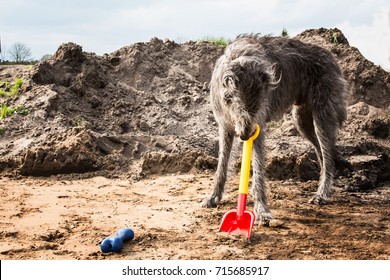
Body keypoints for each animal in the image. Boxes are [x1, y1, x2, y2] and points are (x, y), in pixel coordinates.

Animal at [203, 33, 348, 225]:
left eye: (260, 103)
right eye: (234, 100)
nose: (245, 135)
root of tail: (331, 57)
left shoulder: (258, 126)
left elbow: (257, 169)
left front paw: (262, 211)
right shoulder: (225, 126)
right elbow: (222, 165)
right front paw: (214, 197)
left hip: (322, 116)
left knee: (328, 153)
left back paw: (322, 194)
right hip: (301, 120)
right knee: (322, 153)